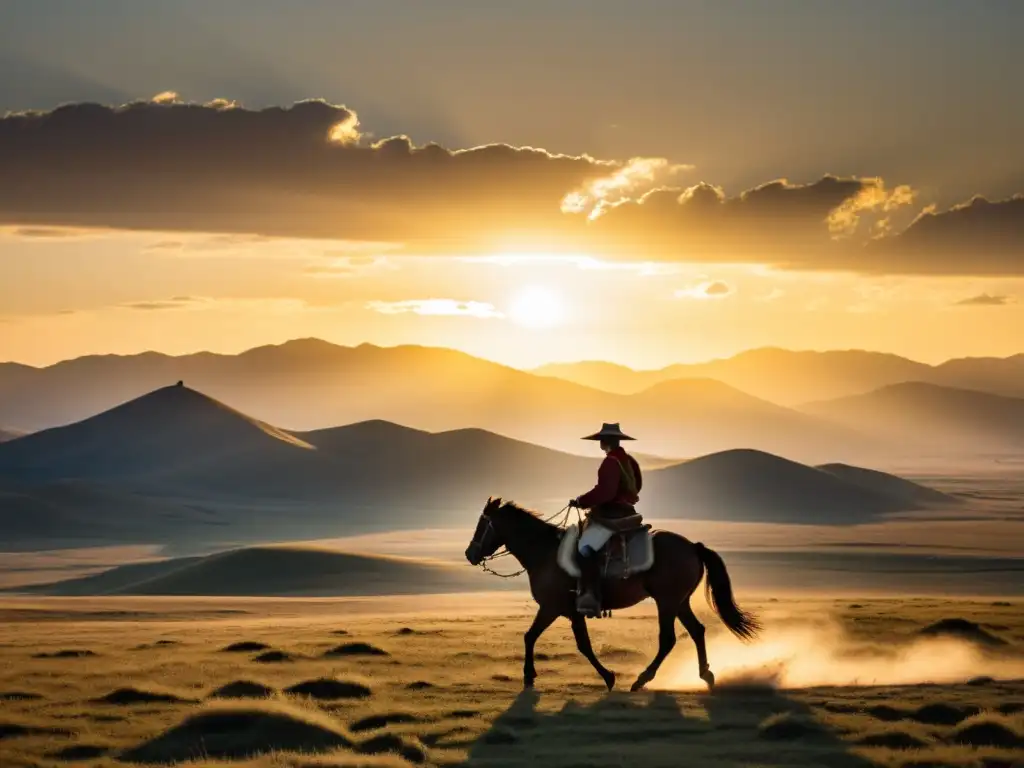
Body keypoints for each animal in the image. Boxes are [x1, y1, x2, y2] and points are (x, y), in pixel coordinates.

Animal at [464, 495, 761, 696]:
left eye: (482, 524)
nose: (469, 554)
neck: (544, 552)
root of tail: (693, 546)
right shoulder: (558, 610)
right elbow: (535, 636)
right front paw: (530, 676)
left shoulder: (556, 608)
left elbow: (577, 644)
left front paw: (608, 677)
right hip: (679, 602)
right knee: (697, 630)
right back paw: (706, 675)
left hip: (666, 602)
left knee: (668, 639)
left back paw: (642, 679)